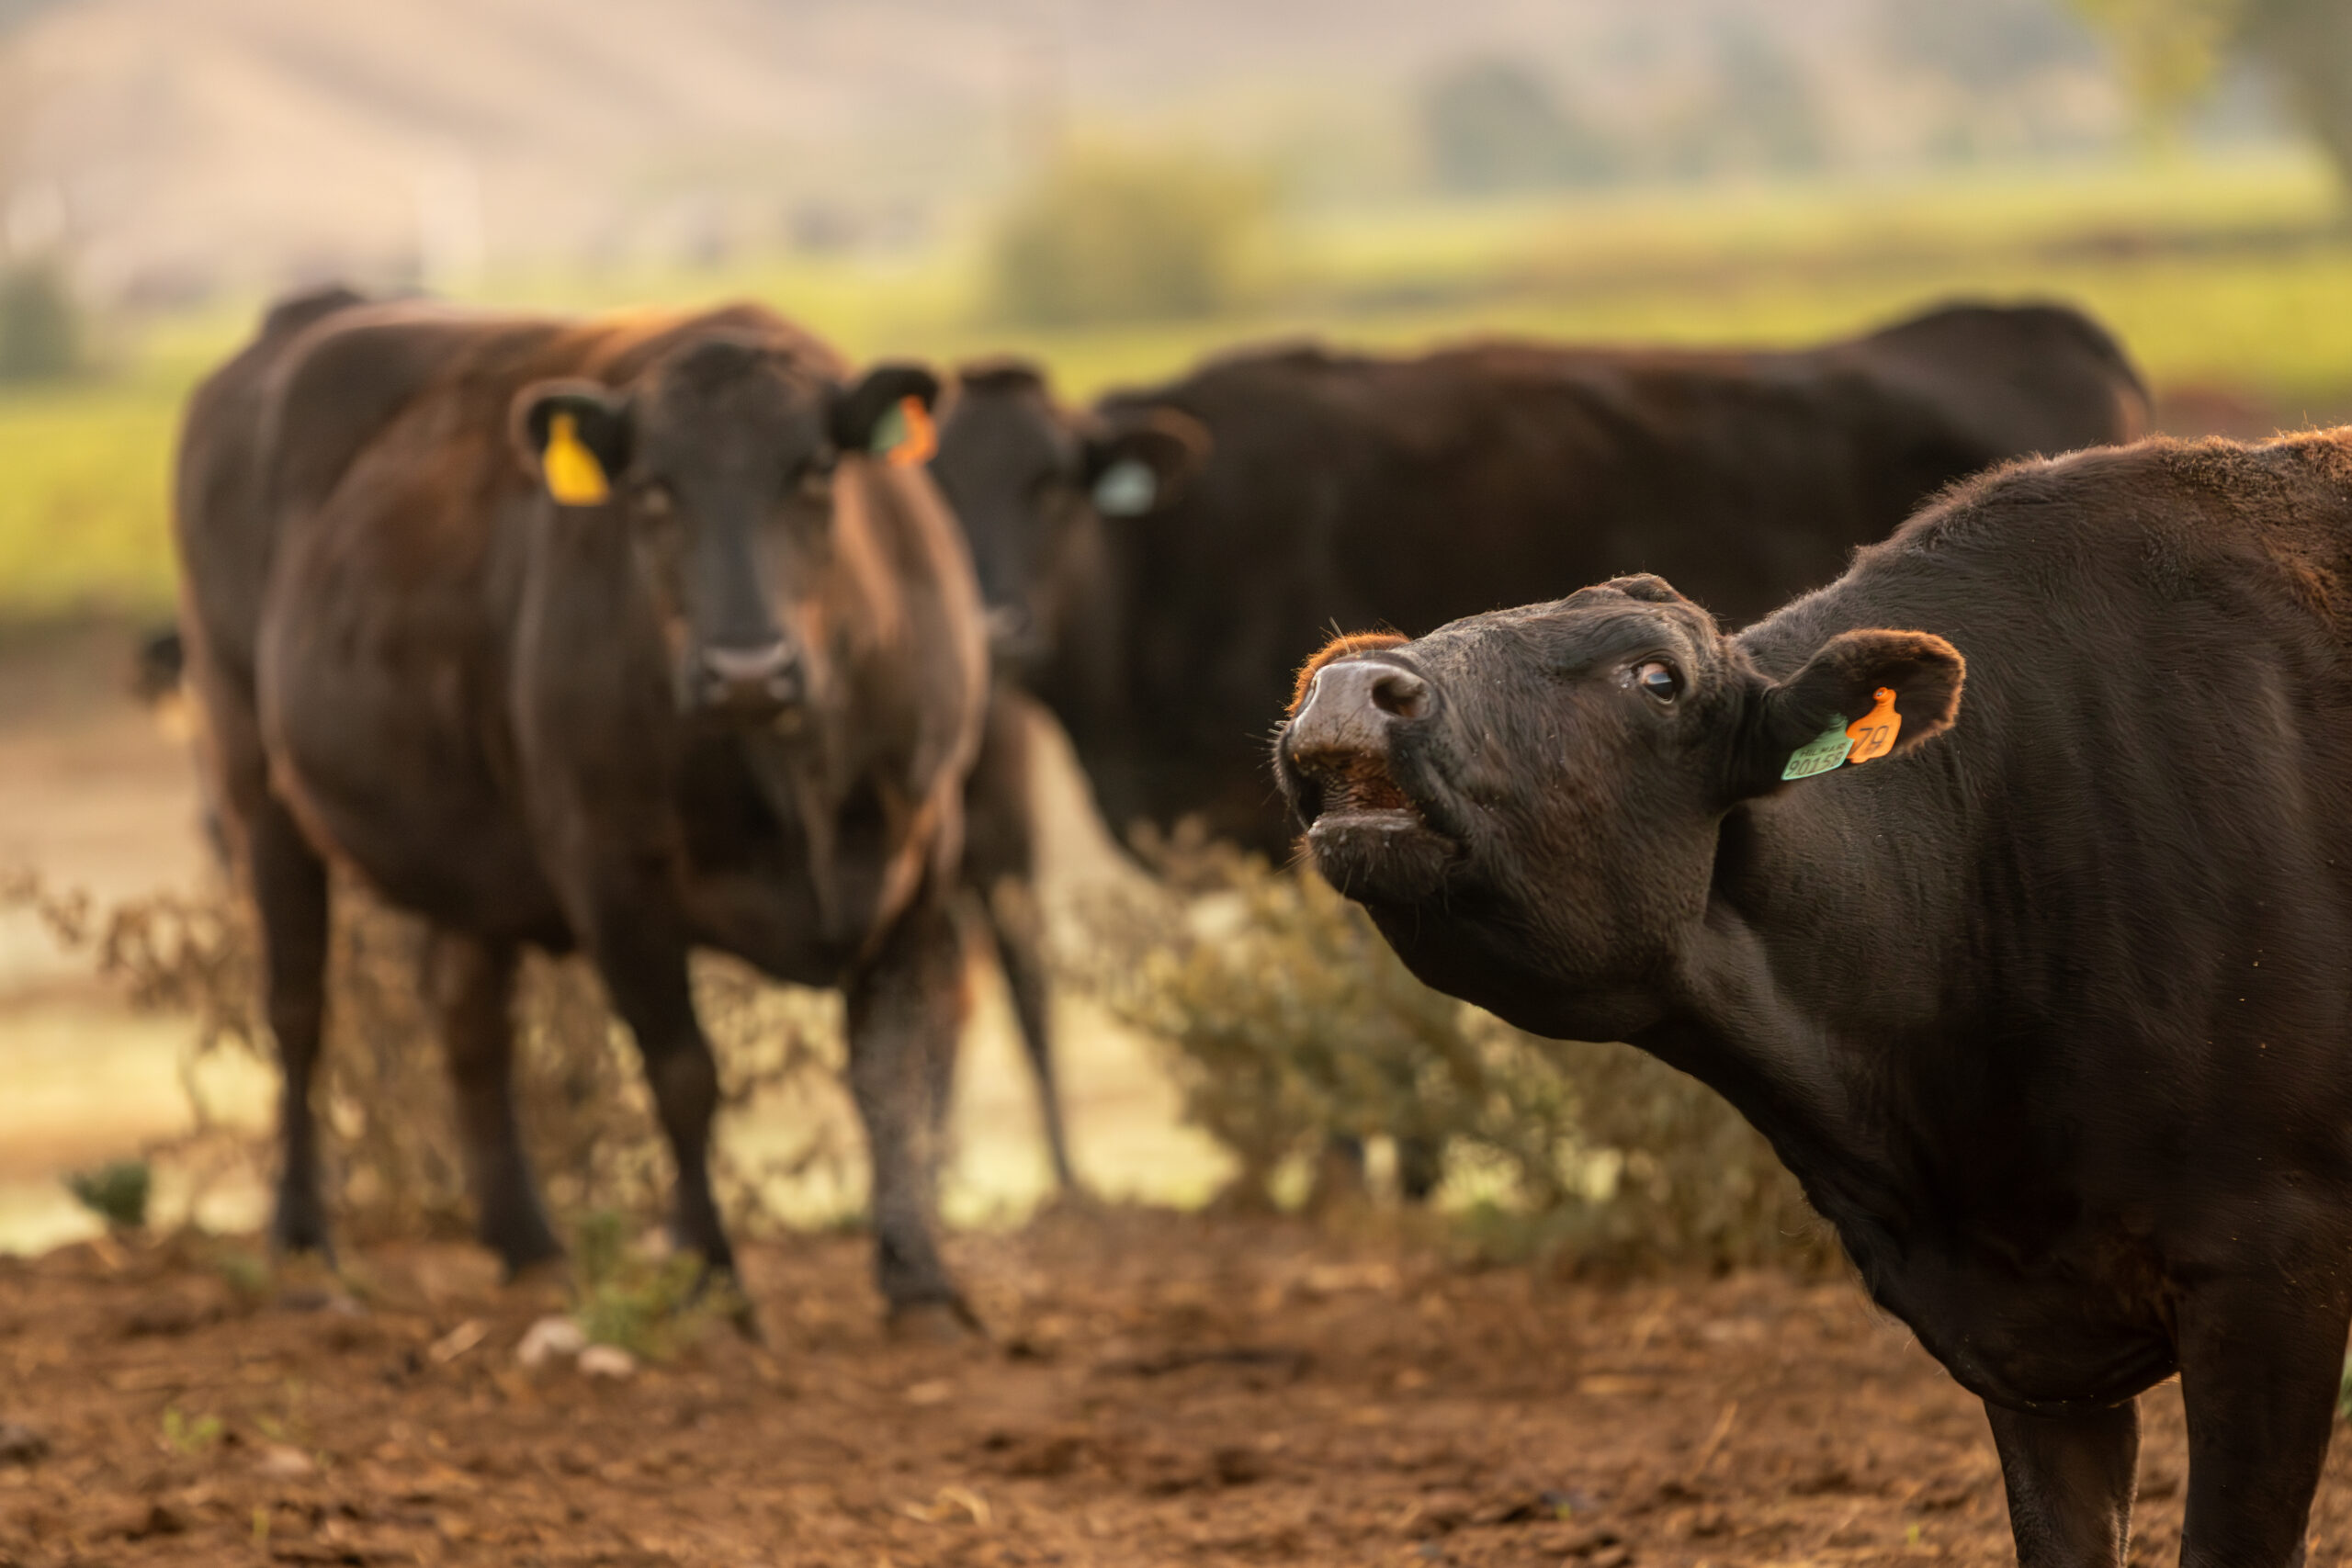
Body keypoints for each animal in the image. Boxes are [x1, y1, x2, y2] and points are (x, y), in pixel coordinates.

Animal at [174, 293, 991, 1331]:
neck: (791, 769)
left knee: (470, 1022)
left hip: (469, 855)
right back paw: (303, 1237)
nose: (745, 668)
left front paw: (919, 1280)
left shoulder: (921, 858)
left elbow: (889, 1073)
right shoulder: (612, 875)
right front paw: (713, 1281)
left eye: (812, 469)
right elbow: (684, 1077)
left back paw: (528, 1244)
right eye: (651, 488)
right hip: (255, 782)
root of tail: (312, 315)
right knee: (297, 1007)